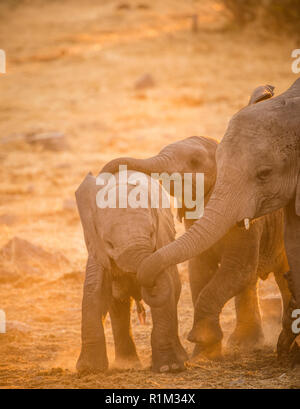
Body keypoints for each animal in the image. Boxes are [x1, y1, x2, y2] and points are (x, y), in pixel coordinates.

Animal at [75, 170, 188, 372]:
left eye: (151, 234)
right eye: (109, 243)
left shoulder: (161, 241)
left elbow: (166, 293)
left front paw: (169, 367)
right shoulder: (96, 248)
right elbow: (94, 290)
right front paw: (89, 369)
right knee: (117, 304)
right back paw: (127, 363)